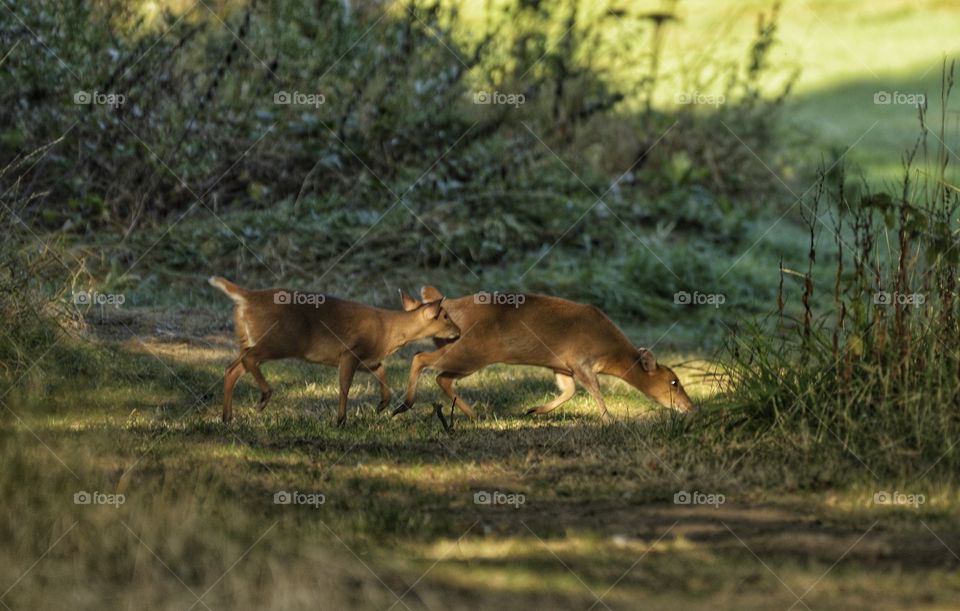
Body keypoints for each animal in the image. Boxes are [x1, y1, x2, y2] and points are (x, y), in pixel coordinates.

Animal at [208, 277, 460, 425]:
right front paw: (340, 420)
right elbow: (345, 386)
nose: (459, 332)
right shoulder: (350, 351)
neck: (388, 332)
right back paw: (263, 397)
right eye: (446, 316)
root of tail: (247, 298)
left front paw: (382, 405)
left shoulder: (367, 358)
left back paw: (227, 417)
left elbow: (382, 372)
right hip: (279, 340)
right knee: (248, 359)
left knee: (232, 368)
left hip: (256, 339)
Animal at [393, 287, 695, 428]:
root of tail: (447, 309)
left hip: (464, 354)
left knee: (442, 378)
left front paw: (535, 410)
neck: (612, 351)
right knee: (421, 358)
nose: (691, 407)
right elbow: (594, 391)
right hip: (468, 351)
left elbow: (569, 390)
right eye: (674, 382)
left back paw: (476, 414)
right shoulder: (582, 361)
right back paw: (403, 406)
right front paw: (610, 421)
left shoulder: (562, 365)